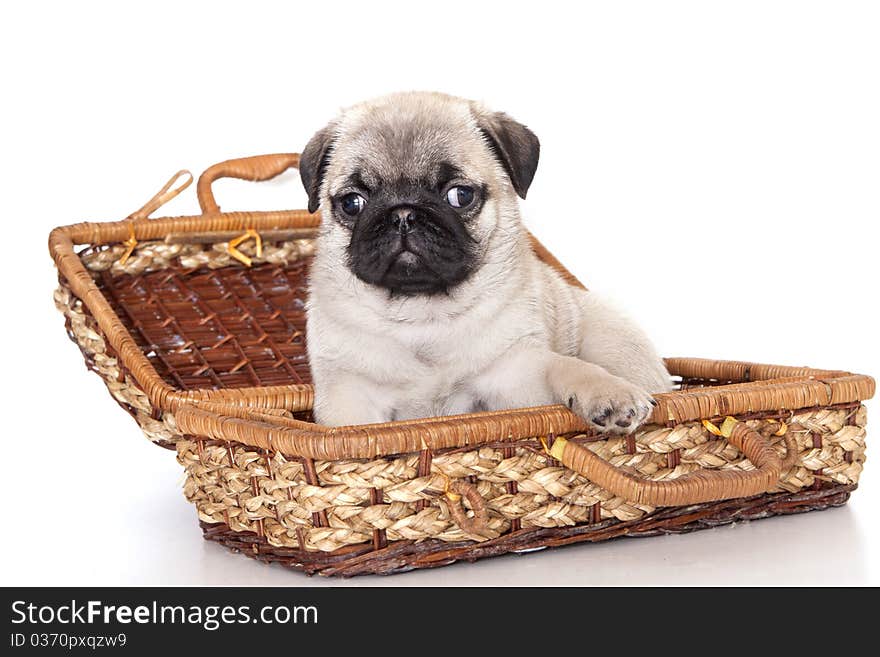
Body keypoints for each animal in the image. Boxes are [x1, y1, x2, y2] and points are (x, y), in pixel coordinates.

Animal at [300, 92, 672, 430]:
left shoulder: (518, 375)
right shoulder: (350, 395)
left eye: (460, 196)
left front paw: (609, 392)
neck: (423, 317)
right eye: (352, 203)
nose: (403, 214)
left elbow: (564, 366)